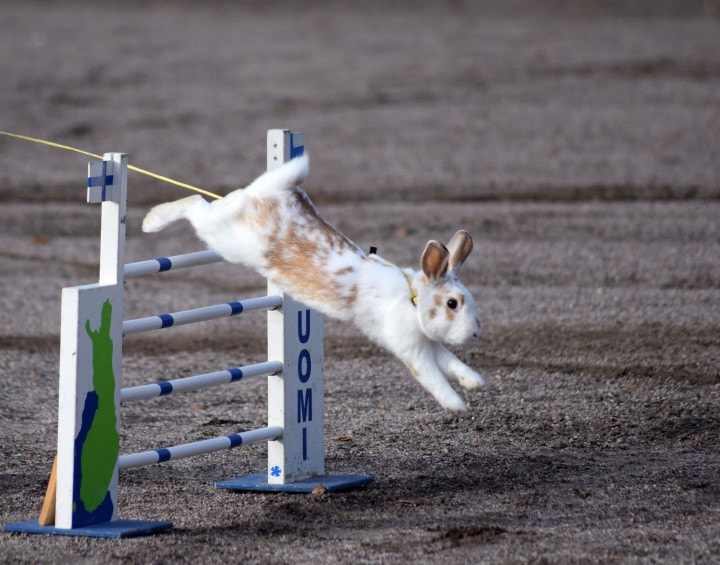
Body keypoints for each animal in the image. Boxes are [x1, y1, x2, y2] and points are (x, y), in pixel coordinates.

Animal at [142, 154, 483, 411]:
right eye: (452, 303)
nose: (476, 334)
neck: (413, 299)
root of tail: (267, 193)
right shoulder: (411, 348)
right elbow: (432, 377)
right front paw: (457, 405)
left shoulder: (429, 342)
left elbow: (451, 362)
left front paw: (475, 381)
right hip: (218, 233)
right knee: (194, 203)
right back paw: (150, 222)